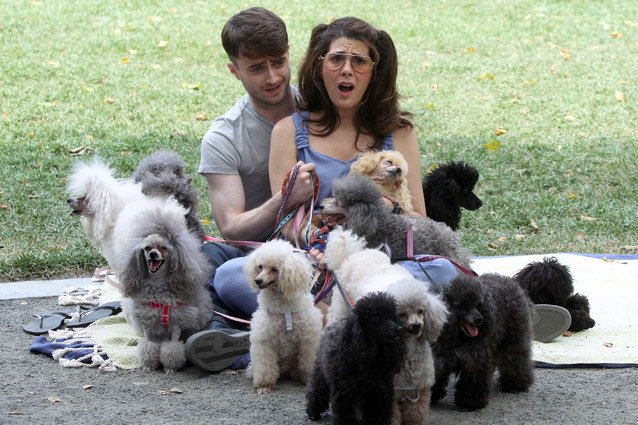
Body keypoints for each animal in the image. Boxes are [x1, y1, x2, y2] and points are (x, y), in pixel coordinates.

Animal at [120, 198, 218, 372]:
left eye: (163, 248)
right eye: (147, 248)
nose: (153, 254)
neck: (157, 285)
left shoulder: (177, 324)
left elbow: (172, 348)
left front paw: (170, 368)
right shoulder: (148, 325)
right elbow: (149, 346)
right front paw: (149, 366)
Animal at [245, 240, 324, 392]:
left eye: (274, 269)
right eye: (260, 266)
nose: (258, 280)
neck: (284, 309)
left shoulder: (308, 339)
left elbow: (308, 359)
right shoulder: (265, 340)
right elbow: (265, 364)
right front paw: (264, 385)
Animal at [306, 292, 404, 424]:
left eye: (391, 315)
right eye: (376, 317)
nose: (400, 329)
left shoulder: (379, 391)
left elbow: (378, 413)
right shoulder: (344, 390)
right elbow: (345, 411)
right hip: (321, 371)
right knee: (316, 389)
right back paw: (313, 411)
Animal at [432, 274, 536, 410]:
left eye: (478, 303)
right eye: (462, 302)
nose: (479, 319)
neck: (458, 337)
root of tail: (514, 284)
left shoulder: (475, 362)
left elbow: (472, 383)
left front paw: (470, 402)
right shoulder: (440, 359)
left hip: (515, 340)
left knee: (515, 360)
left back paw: (515, 385)